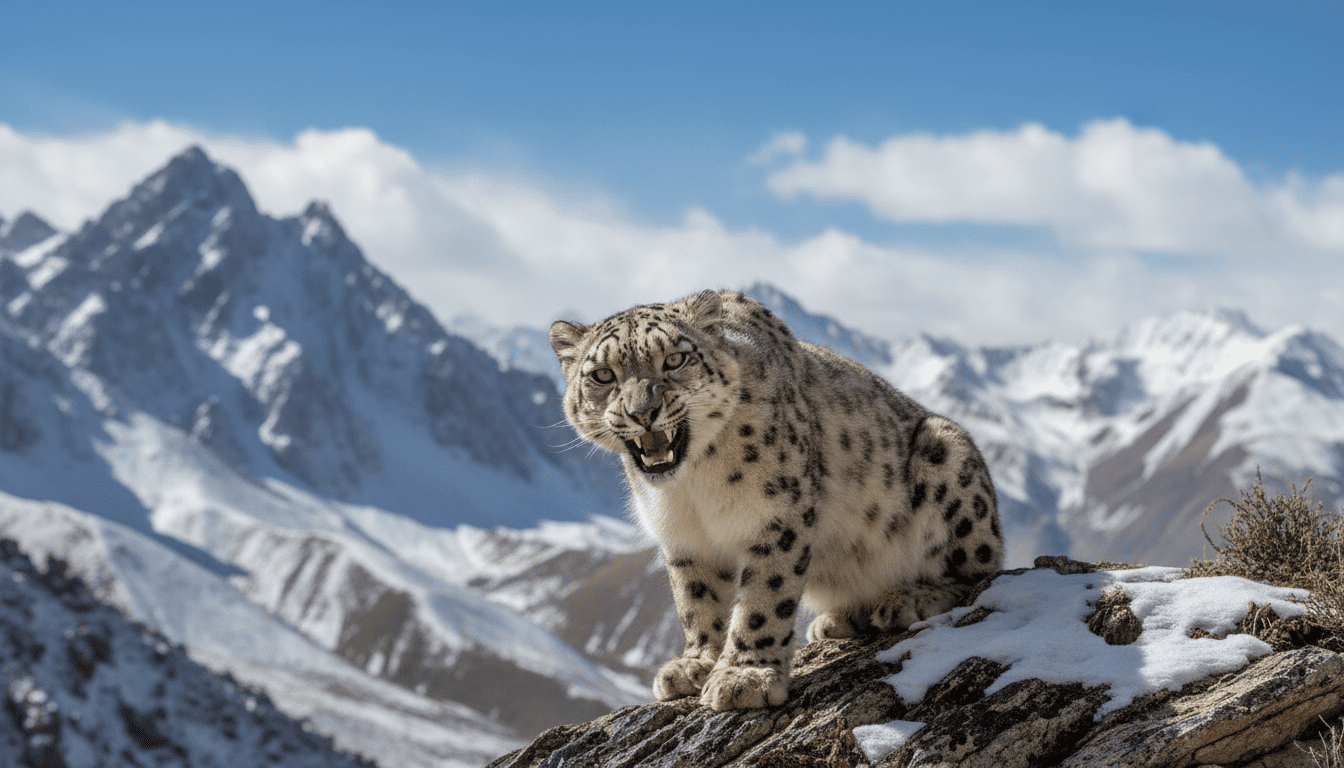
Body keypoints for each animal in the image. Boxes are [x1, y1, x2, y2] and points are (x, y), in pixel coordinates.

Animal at [549, 289, 1002, 711]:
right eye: (603, 374)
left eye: (675, 359)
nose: (643, 412)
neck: (692, 487)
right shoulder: (683, 539)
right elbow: (695, 600)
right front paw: (696, 665)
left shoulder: (777, 514)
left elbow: (764, 596)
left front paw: (745, 678)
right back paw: (839, 620)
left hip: (947, 455)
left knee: (981, 572)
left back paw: (908, 600)